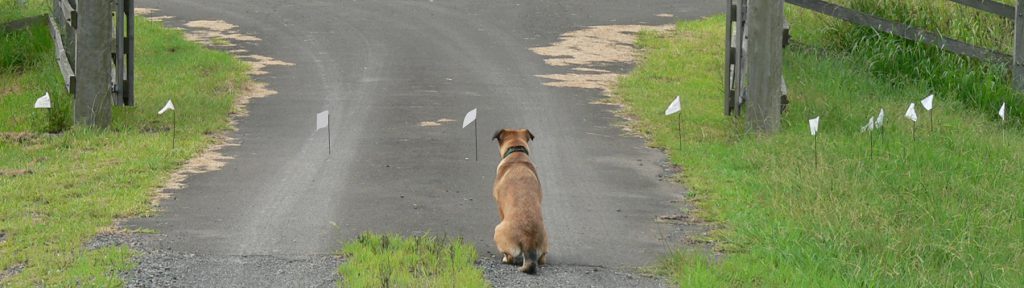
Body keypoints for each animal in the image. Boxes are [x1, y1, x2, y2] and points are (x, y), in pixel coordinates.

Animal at [491, 128, 548, 272]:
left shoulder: (500, 207)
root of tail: (528, 240)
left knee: (510, 257)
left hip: (498, 230)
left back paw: (505, 259)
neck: (517, 152)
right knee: (542, 259)